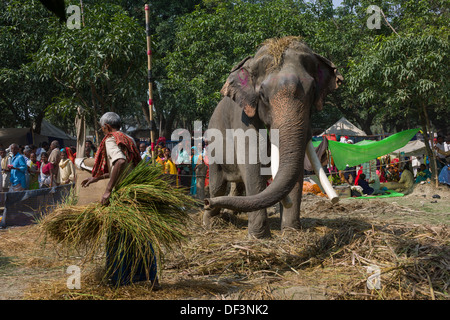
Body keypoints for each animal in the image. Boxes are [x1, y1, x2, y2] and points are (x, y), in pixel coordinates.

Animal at [202, 36, 342, 239]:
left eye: (313, 90)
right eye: (262, 95)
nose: (205, 202)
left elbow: (296, 170)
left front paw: (291, 232)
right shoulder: (242, 117)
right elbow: (252, 163)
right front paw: (259, 237)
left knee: (237, 186)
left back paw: (228, 214)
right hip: (212, 147)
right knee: (217, 185)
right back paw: (210, 222)